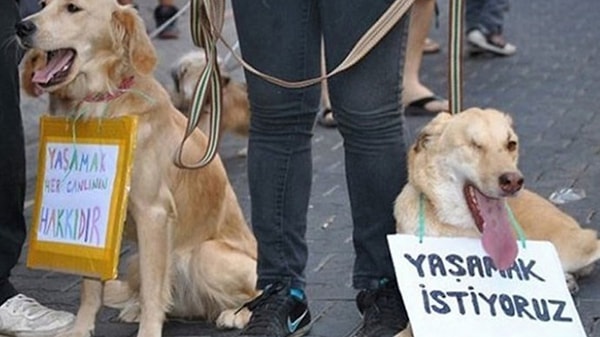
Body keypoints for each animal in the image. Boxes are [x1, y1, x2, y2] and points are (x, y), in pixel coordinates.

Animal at [18, 1, 258, 334]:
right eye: (42, 5)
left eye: (73, 8)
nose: (21, 27)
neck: (101, 104)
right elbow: (90, 289)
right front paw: (81, 329)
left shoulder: (152, 212)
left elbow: (154, 290)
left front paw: (148, 329)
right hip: (133, 260)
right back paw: (135, 308)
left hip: (205, 255)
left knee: (256, 292)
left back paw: (235, 313)